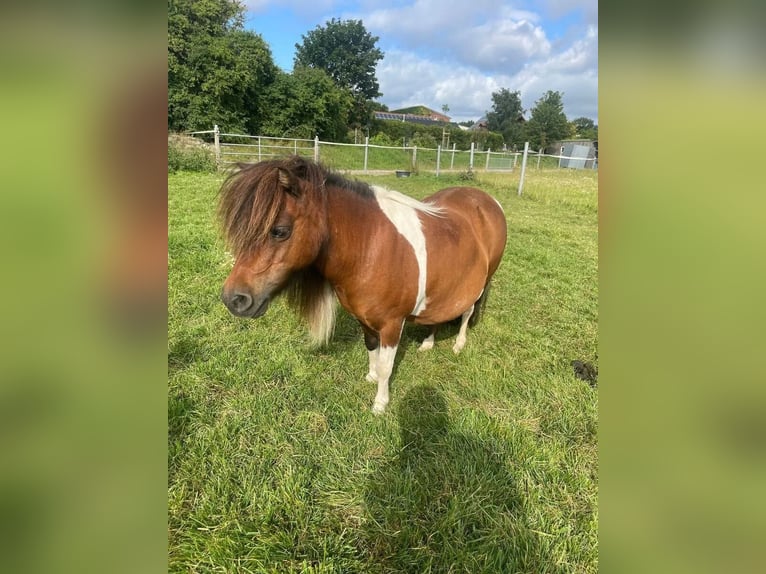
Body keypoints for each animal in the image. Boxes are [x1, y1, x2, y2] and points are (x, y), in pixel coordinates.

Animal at [218, 156, 504, 414]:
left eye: (279, 231)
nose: (234, 299)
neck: (370, 247)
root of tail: (487, 200)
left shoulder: (392, 325)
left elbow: (387, 365)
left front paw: (380, 403)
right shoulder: (363, 319)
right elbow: (371, 350)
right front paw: (371, 376)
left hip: (481, 284)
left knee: (467, 312)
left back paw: (459, 344)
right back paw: (428, 343)